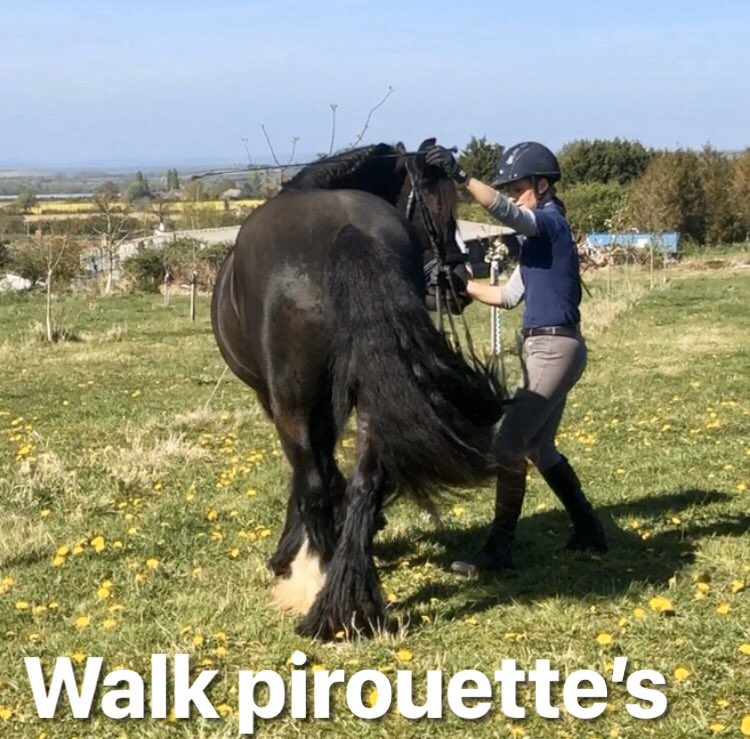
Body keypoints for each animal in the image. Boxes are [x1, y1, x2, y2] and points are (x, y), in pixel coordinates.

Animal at [211, 138, 504, 639]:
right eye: (435, 210)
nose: (459, 284)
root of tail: (347, 228)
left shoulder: (279, 400)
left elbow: (314, 474)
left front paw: (290, 552)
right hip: (370, 395)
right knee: (367, 480)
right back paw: (351, 600)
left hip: (292, 402)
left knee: (313, 480)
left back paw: (317, 583)